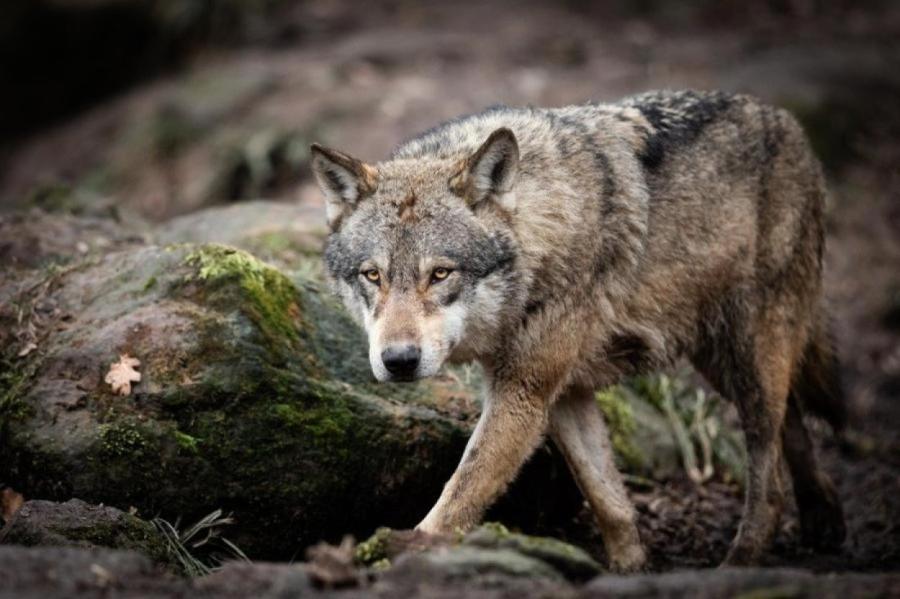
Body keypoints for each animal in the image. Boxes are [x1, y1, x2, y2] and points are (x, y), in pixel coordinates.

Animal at [308, 90, 844, 572]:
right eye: (372, 275)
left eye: (440, 274)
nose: (398, 361)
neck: (538, 240)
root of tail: (789, 122)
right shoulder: (562, 393)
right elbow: (609, 501)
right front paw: (631, 570)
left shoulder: (523, 393)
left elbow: (460, 492)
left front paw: (397, 554)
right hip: (722, 361)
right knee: (793, 425)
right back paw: (826, 522)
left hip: (748, 358)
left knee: (770, 476)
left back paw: (740, 565)